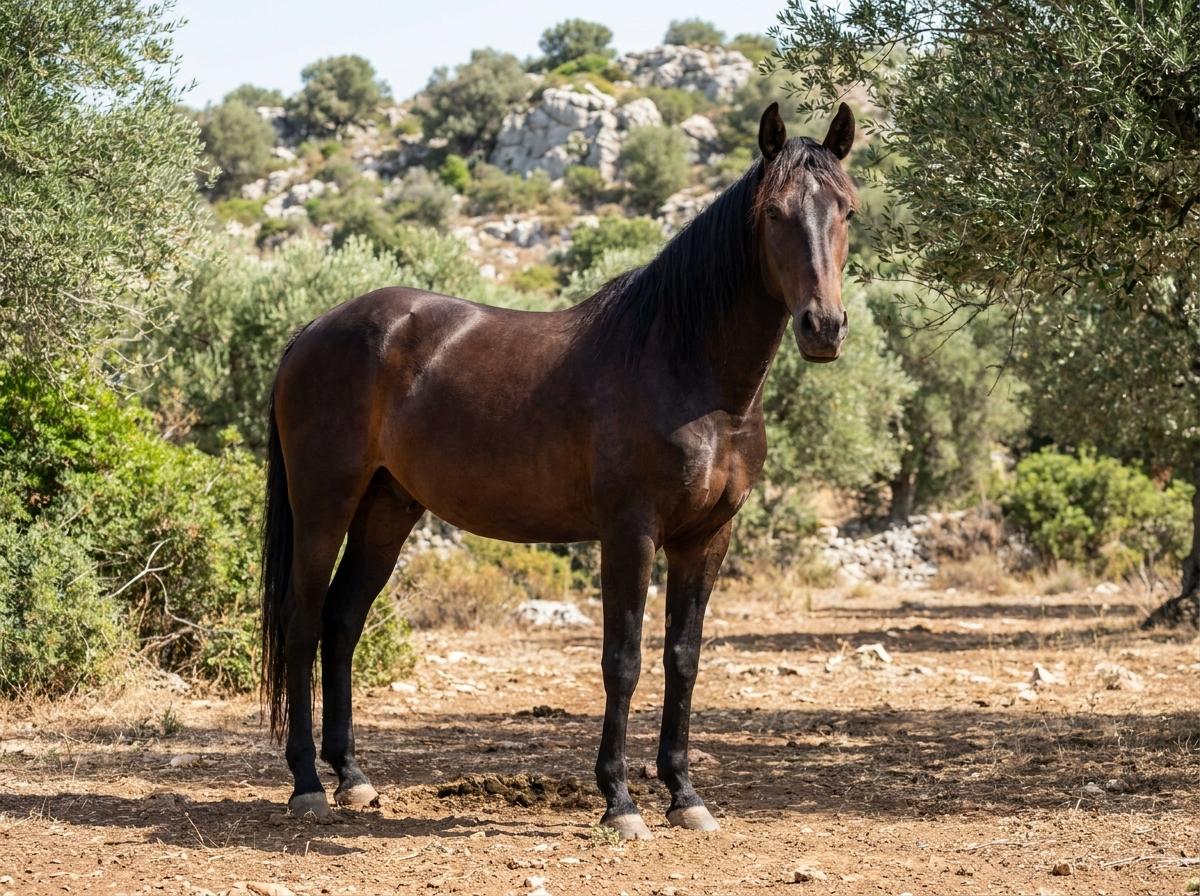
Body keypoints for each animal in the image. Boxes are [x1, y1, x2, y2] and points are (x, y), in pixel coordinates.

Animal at [260, 102, 858, 839]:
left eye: (848, 210)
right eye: (774, 212)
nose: (823, 327)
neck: (685, 367)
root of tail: (313, 329)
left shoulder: (706, 539)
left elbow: (683, 658)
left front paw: (684, 795)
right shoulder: (630, 533)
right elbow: (623, 661)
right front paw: (620, 803)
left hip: (387, 508)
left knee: (343, 620)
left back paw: (352, 777)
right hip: (325, 503)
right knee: (304, 621)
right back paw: (308, 784)